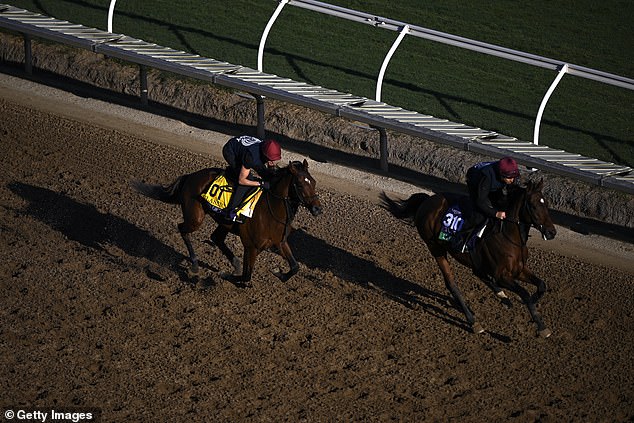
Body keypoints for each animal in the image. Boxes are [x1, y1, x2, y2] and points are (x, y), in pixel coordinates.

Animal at [133, 161, 320, 286]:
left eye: (314, 182)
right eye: (300, 184)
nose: (318, 209)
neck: (271, 210)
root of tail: (190, 176)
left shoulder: (279, 243)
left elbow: (295, 267)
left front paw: (279, 273)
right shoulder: (251, 246)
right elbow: (246, 277)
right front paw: (225, 274)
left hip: (224, 223)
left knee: (216, 238)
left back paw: (234, 263)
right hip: (195, 218)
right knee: (183, 229)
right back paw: (194, 264)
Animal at [380, 179, 552, 338]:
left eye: (546, 204)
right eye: (534, 206)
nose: (552, 232)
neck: (508, 236)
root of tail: (427, 201)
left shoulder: (519, 270)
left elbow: (541, 285)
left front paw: (534, 304)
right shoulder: (502, 276)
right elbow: (524, 293)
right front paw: (542, 327)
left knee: (478, 273)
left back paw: (502, 296)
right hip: (435, 247)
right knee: (452, 283)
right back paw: (474, 322)